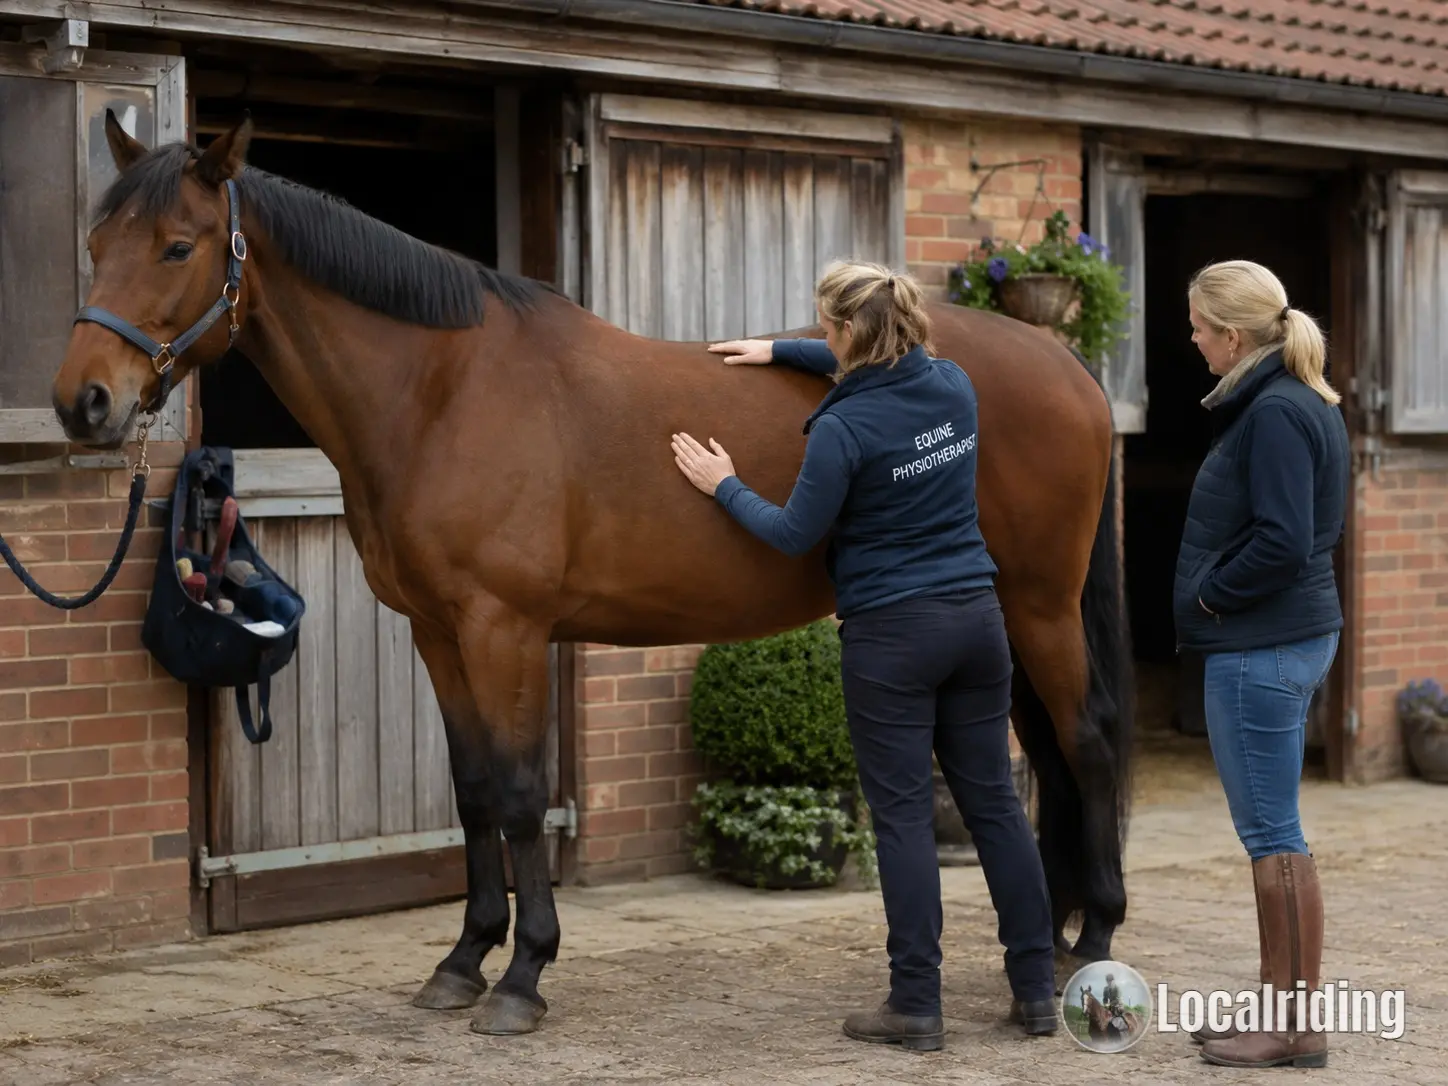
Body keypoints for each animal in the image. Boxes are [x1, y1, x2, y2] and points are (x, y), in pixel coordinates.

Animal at [49, 113, 1134, 1036]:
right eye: (97, 245)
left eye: (177, 248)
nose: (82, 402)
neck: (440, 394)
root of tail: (1064, 365)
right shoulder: (437, 631)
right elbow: (472, 791)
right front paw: (462, 962)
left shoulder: (506, 628)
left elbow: (522, 793)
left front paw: (522, 976)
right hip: (1003, 614)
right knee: (1042, 756)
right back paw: (1044, 941)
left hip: (1038, 605)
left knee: (1082, 744)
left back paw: (1093, 937)